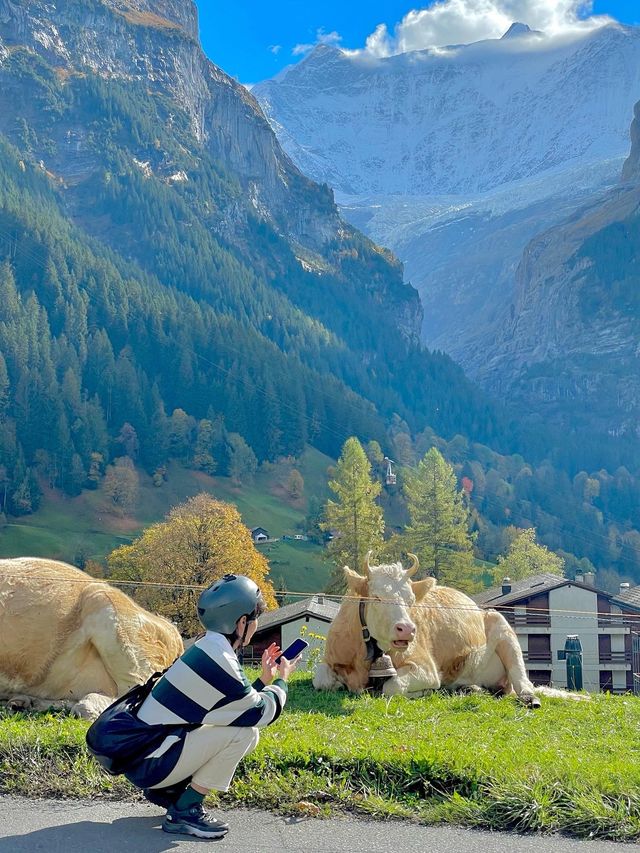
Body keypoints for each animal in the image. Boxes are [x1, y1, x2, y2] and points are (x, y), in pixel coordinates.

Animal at [316, 552, 556, 704]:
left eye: (411, 600)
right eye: (376, 597)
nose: (407, 629)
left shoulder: (426, 668)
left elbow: (392, 687)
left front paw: (421, 693)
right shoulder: (330, 659)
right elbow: (322, 680)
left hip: (503, 628)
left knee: (521, 677)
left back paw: (529, 697)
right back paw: (470, 688)